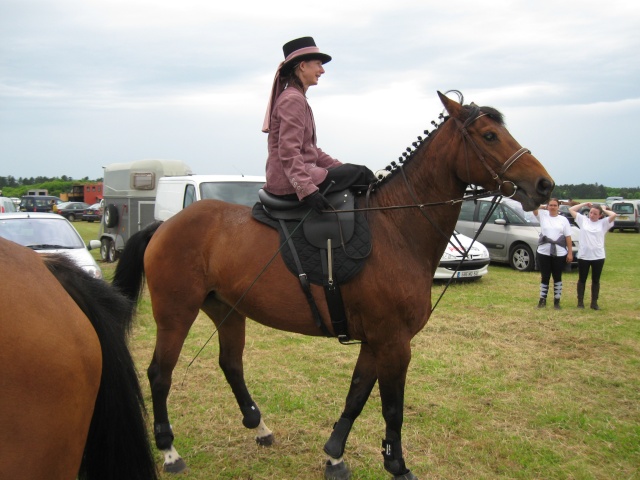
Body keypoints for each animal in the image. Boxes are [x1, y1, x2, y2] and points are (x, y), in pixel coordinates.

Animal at [112, 92, 552, 478]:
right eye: (489, 136)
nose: (544, 185)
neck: (396, 227)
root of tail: (164, 224)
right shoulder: (394, 342)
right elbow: (392, 408)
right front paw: (396, 465)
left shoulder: (377, 341)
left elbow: (356, 396)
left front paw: (335, 455)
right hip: (176, 314)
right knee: (160, 374)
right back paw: (169, 451)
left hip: (227, 309)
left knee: (231, 364)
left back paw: (259, 426)